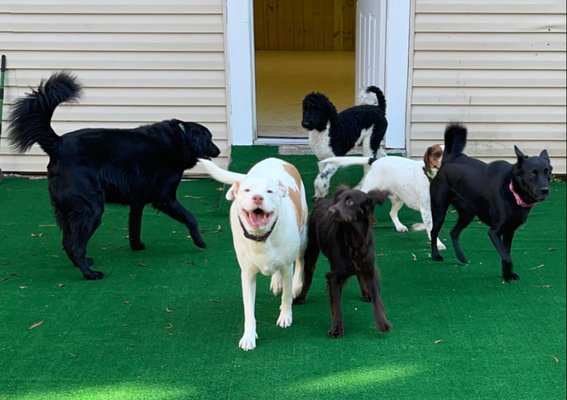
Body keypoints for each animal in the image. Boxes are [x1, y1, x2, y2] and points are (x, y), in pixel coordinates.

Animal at [9, 72, 222, 278]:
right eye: (210, 138)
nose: (219, 151)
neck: (182, 137)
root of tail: (58, 144)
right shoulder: (164, 198)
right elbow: (190, 217)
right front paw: (200, 241)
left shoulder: (137, 201)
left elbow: (134, 226)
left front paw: (137, 246)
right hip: (91, 208)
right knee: (76, 246)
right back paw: (90, 274)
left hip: (66, 210)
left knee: (67, 243)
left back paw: (84, 264)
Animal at [197, 157, 308, 350]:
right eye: (247, 190)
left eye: (269, 191)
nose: (257, 197)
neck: (261, 238)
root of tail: (277, 159)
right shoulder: (247, 275)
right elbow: (249, 310)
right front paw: (249, 336)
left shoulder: (287, 267)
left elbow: (286, 296)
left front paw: (286, 315)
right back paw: (276, 282)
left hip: (303, 236)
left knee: (300, 261)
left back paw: (296, 286)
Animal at [432, 124, 552, 282]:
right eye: (532, 173)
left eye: (548, 172)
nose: (545, 190)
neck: (512, 191)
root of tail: (449, 160)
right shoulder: (494, 232)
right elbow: (507, 257)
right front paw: (507, 275)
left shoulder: (509, 230)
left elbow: (506, 253)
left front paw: (507, 275)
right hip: (439, 211)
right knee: (433, 232)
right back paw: (435, 255)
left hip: (467, 214)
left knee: (454, 232)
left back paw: (461, 257)